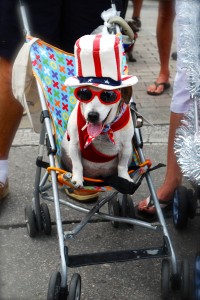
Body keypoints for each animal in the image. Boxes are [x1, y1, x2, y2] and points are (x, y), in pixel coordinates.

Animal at [60, 34, 138, 188]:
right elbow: (77, 165)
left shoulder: (126, 147)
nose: (92, 115)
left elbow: (122, 166)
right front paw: (77, 179)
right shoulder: (74, 145)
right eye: (84, 93)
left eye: (108, 95)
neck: (104, 131)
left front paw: (124, 178)